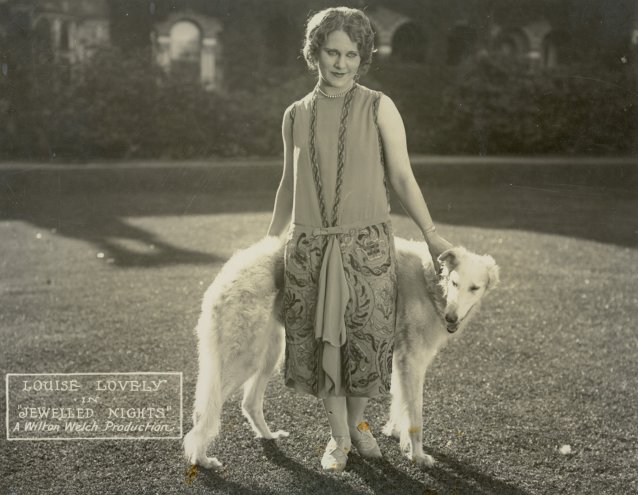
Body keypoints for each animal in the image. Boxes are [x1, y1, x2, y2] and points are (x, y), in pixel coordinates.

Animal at [182, 236, 502, 468]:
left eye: (475, 288)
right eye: (455, 283)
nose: (451, 318)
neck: (431, 284)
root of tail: (225, 276)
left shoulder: (401, 360)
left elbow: (399, 403)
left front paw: (393, 433)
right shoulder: (413, 360)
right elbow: (415, 418)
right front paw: (417, 456)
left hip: (269, 353)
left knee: (248, 403)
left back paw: (268, 435)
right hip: (244, 358)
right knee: (205, 412)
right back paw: (201, 458)